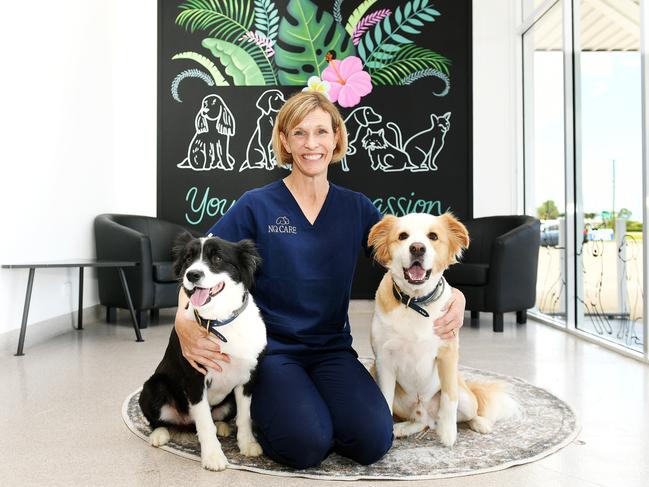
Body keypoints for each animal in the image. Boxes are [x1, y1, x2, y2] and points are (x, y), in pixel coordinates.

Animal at [138, 234, 268, 470]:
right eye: (188, 259)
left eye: (217, 258)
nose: (192, 274)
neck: (219, 320)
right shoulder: (195, 379)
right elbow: (205, 423)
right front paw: (213, 456)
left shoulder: (248, 377)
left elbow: (245, 416)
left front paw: (247, 444)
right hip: (153, 386)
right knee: (157, 421)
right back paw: (159, 434)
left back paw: (223, 426)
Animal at [370, 214, 516, 446]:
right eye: (402, 236)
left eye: (433, 236)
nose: (417, 248)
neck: (416, 302)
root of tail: (427, 413)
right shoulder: (384, 361)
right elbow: (384, 399)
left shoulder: (447, 355)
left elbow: (449, 398)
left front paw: (448, 434)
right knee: (420, 422)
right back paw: (403, 428)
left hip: (466, 398)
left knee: (468, 412)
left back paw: (479, 423)